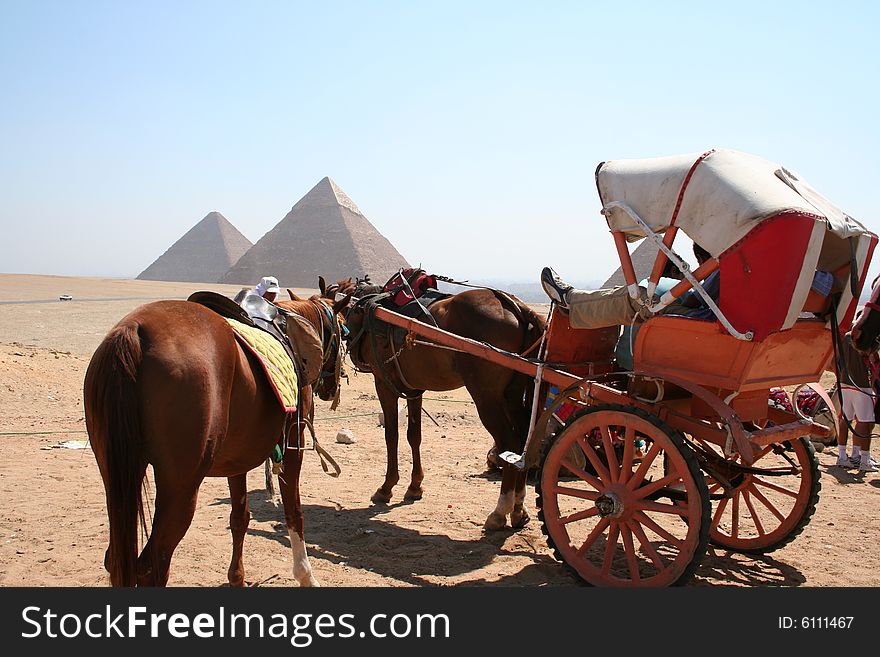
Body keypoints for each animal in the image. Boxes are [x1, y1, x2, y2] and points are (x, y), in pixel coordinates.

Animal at [85, 288, 348, 584]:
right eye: (344, 331)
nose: (330, 387)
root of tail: (135, 329)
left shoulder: (237, 458)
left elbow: (240, 517)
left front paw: (237, 578)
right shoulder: (294, 444)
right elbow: (295, 512)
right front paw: (305, 575)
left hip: (117, 474)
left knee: (116, 558)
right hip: (180, 485)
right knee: (154, 562)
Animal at [340, 276, 548, 528]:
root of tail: (518, 307)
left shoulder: (383, 383)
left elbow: (392, 435)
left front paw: (386, 488)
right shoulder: (414, 389)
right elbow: (414, 435)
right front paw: (414, 487)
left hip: (487, 396)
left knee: (508, 441)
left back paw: (499, 512)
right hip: (514, 393)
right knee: (523, 440)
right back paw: (518, 509)